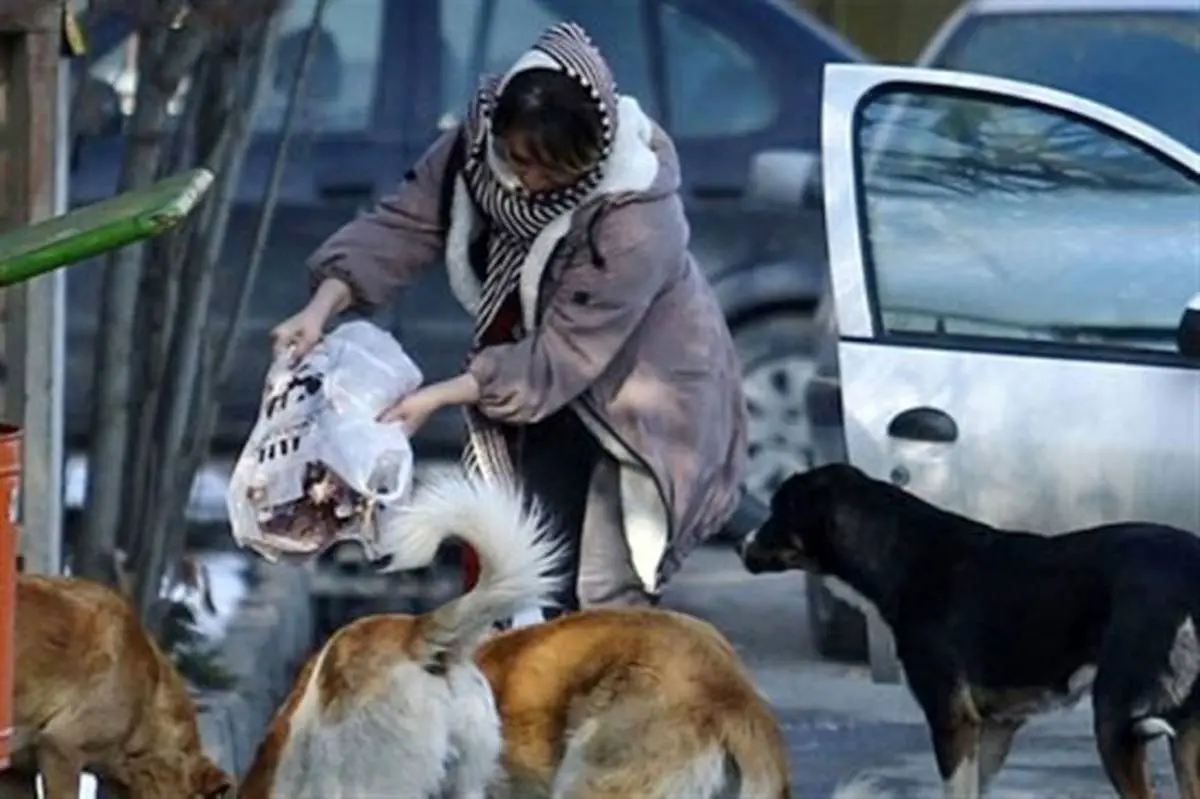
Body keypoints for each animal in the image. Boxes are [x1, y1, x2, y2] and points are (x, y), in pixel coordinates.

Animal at [739, 460, 1200, 796]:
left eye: (777, 510)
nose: (739, 545)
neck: (902, 555)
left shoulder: (952, 721)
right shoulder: (995, 728)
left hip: (1117, 724)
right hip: (1185, 737)